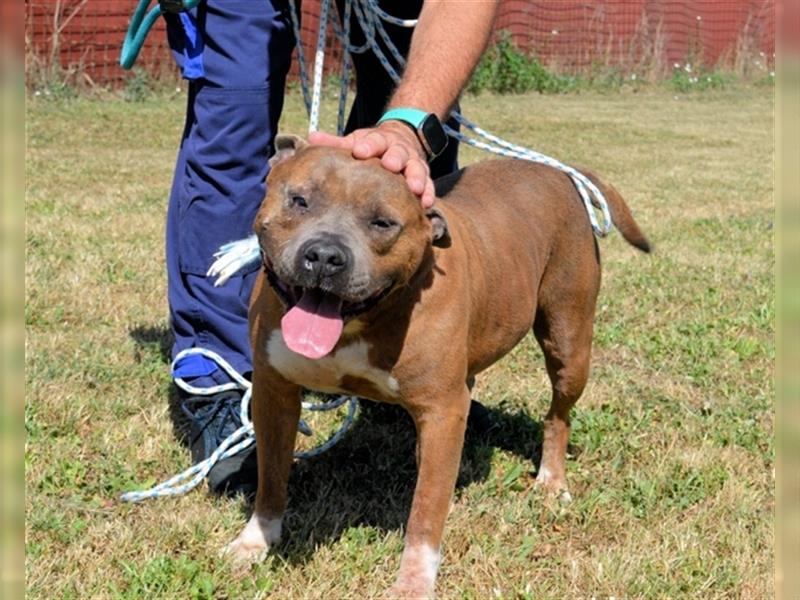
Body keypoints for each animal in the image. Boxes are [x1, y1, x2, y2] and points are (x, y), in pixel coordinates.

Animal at [225, 134, 648, 596]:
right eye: (299, 200)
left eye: (383, 223)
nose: (323, 256)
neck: (360, 322)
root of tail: (558, 171)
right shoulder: (274, 394)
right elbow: (271, 476)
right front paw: (257, 539)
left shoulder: (442, 412)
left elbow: (426, 510)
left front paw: (413, 581)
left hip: (569, 344)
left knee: (558, 415)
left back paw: (551, 480)